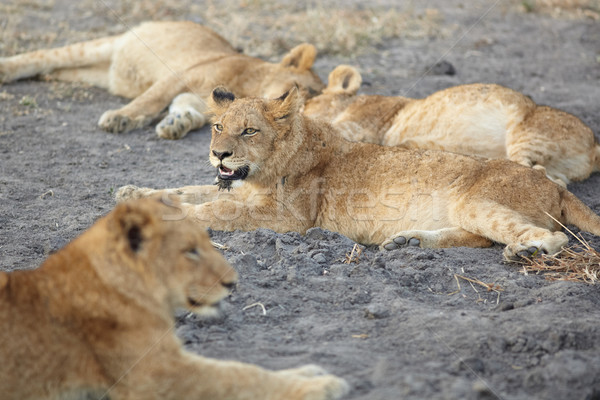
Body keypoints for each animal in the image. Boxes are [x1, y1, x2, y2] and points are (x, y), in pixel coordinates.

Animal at [0, 21, 324, 141]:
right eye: (304, 92)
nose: (302, 120)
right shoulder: (181, 75)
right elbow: (151, 98)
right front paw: (120, 118)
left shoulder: (198, 96)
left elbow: (188, 109)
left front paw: (177, 124)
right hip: (98, 48)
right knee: (45, 56)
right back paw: (7, 69)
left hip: (97, 73)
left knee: (58, 69)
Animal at [0, 198, 346, 400]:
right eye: (189, 251)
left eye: (207, 241)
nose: (233, 283)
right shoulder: (155, 376)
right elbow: (238, 377)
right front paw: (322, 387)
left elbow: (237, 367)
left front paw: (308, 373)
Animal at [115, 86, 600, 260]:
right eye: (218, 126)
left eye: (249, 130)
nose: (219, 154)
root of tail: (555, 187)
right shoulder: (238, 191)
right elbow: (188, 189)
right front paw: (133, 191)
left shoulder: (287, 220)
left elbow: (208, 209)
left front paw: (155, 213)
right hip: (469, 210)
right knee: (479, 237)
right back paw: (408, 241)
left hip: (477, 199)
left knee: (548, 236)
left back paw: (528, 251)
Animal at [304, 65, 600, 187]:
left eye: (308, 102)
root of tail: (594, 146)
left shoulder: (362, 124)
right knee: (557, 179)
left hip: (528, 131)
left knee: (534, 170)